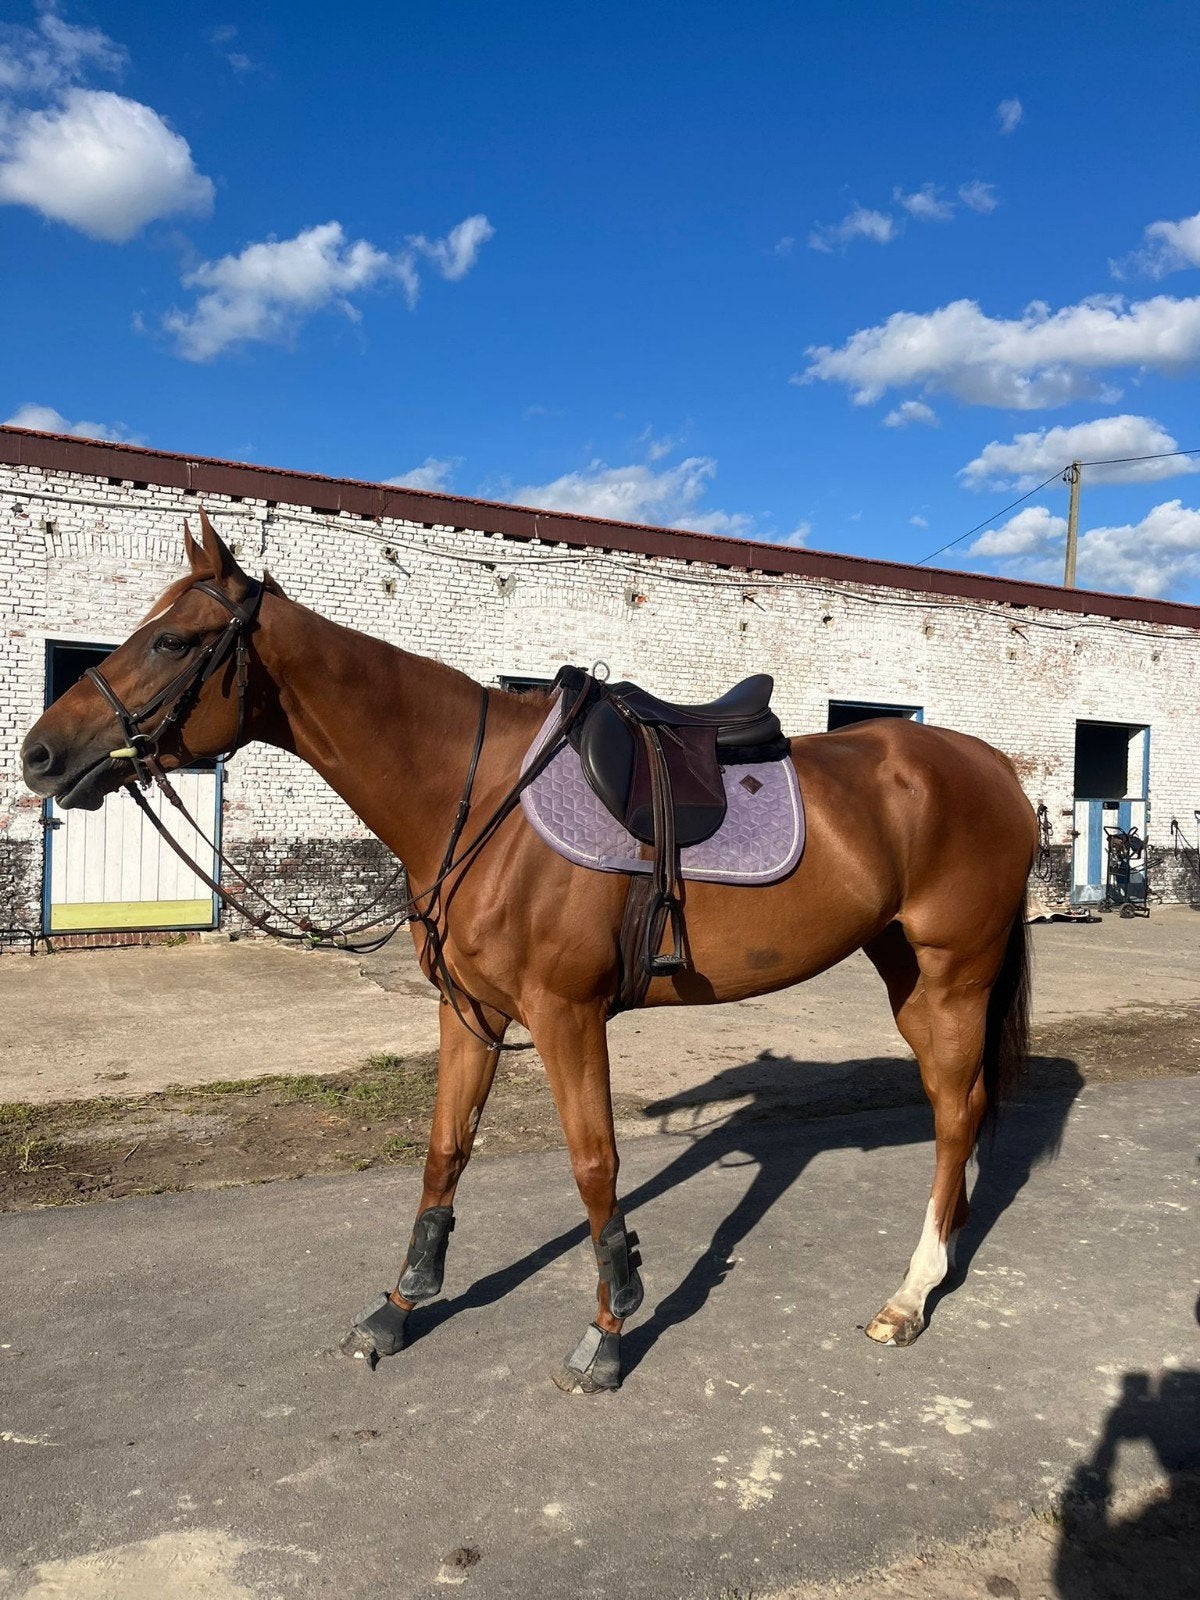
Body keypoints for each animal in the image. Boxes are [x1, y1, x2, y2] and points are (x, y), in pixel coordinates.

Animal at [21, 510, 1037, 1392]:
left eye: (172, 642)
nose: (39, 756)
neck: (477, 799)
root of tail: (992, 767)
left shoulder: (565, 1015)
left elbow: (594, 1165)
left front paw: (612, 1327)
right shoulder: (470, 1010)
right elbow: (444, 1151)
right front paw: (400, 1308)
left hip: (955, 972)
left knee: (956, 1111)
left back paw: (910, 1295)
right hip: (905, 969)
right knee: (959, 1104)